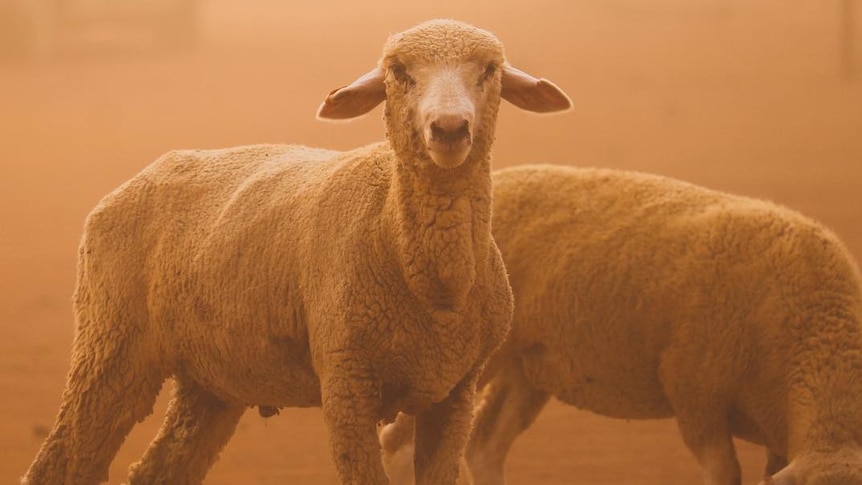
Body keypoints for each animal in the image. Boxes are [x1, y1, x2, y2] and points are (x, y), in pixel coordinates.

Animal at [20, 19, 572, 484]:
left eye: (490, 70)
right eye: (398, 71)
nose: (450, 129)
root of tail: (142, 174)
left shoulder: (454, 392)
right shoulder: (347, 386)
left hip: (212, 375)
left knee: (161, 467)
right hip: (111, 344)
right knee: (63, 462)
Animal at [382, 164, 862, 482]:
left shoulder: (777, 431)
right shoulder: (693, 392)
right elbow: (725, 472)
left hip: (526, 366)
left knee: (486, 443)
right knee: (400, 446)